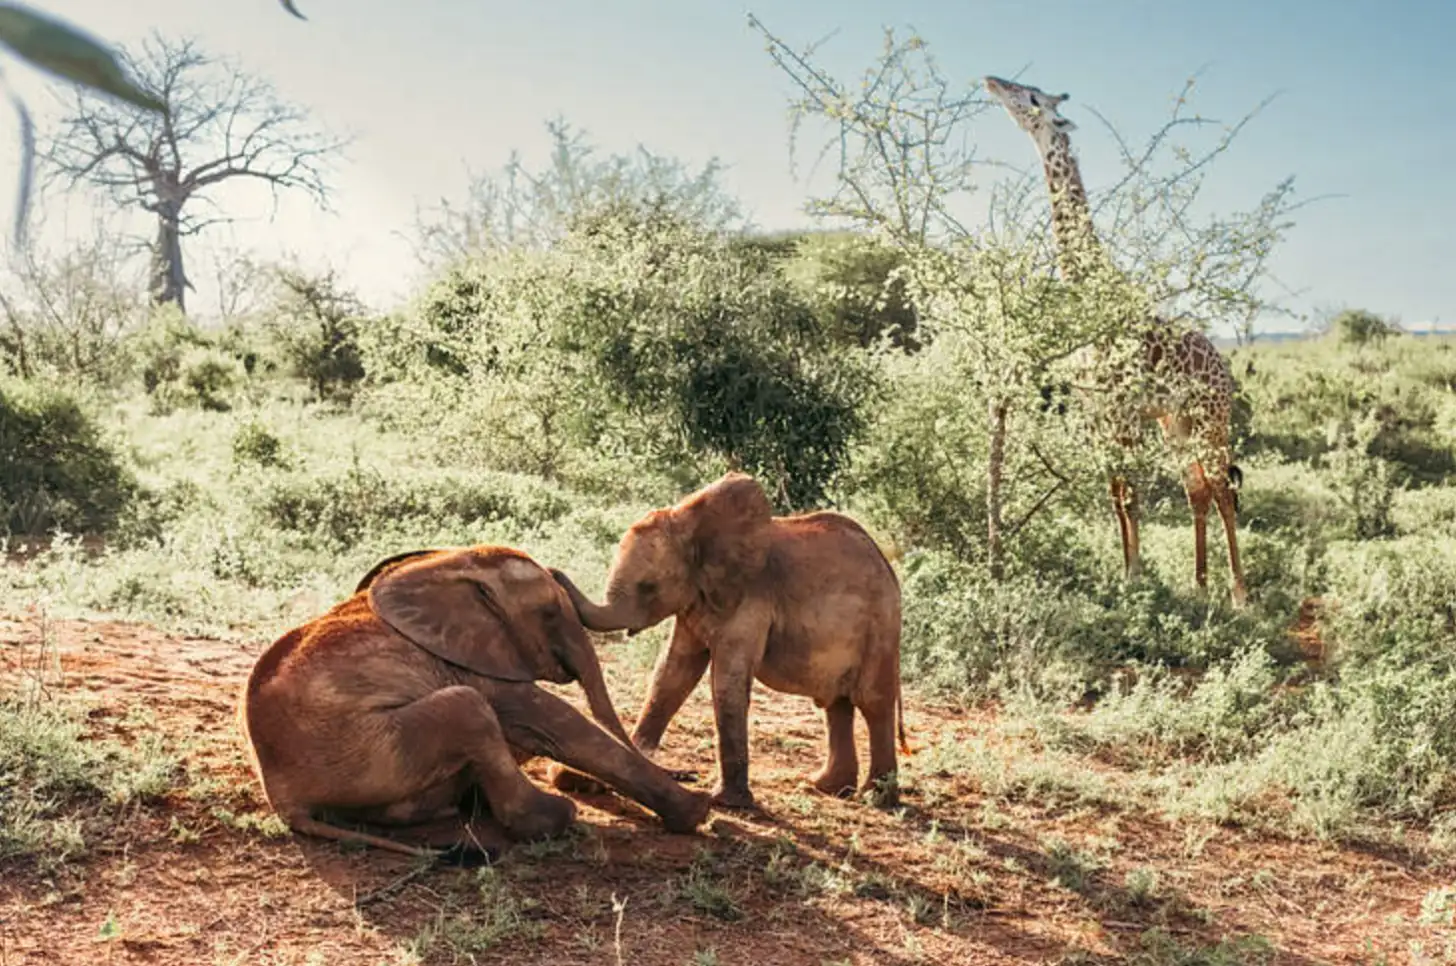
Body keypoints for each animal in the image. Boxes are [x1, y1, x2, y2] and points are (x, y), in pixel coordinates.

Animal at [239, 544, 713, 859]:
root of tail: (285, 799)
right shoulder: (470, 662)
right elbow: (551, 722)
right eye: (549, 614)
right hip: (367, 754)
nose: (690, 777)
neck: (452, 564)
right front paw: (697, 811)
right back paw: (558, 816)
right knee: (468, 710)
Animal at [551, 472, 908, 811]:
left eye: (648, 587)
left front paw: (727, 803)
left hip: (881, 627)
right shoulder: (696, 600)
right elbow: (671, 673)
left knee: (872, 701)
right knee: (836, 703)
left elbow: (725, 680)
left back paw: (874, 799)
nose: (553, 572)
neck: (693, 525)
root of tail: (888, 568)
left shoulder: (749, 599)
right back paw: (826, 788)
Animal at [983, 75, 1249, 607]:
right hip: (1175, 423)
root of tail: (1224, 370)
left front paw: (1135, 575)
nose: (992, 82)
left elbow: (1131, 495)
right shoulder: (1096, 411)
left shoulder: (1123, 411)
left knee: (1223, 489)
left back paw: (1238, 593)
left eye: (1032, 97)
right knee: (1197, 489)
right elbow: (1115, 494)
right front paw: (1127, 573)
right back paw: (1198, 584)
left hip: (1210, 419)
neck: (1089, 286)